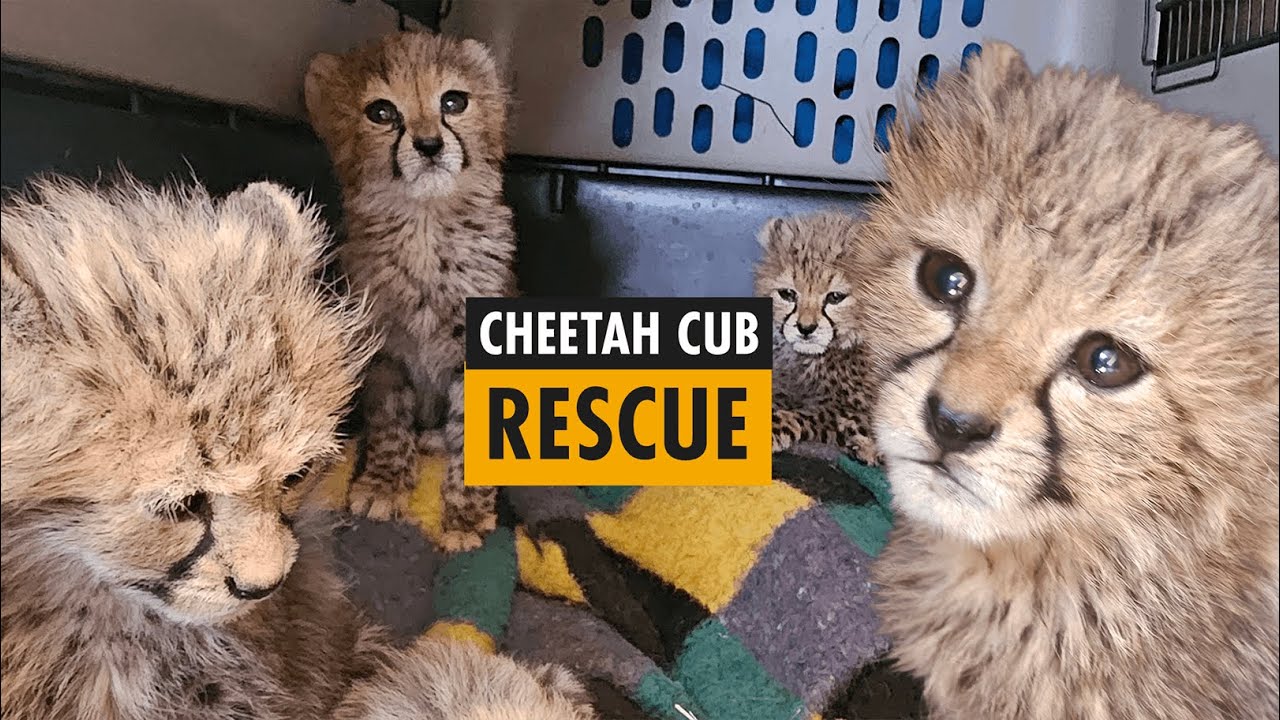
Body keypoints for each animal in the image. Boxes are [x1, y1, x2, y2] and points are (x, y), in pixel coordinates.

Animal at [304, 30, 517, 552]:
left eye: (454, 102)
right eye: (381, 112)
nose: (429, 145)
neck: (425, 223)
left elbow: (474, 435)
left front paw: (465, 515)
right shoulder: (382, 351)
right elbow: (388, 422)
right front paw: (384, 483)